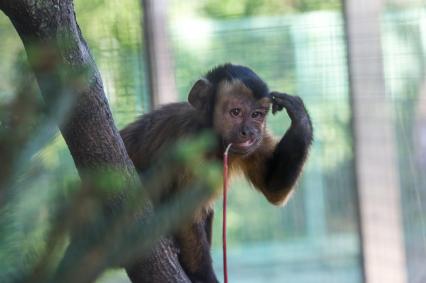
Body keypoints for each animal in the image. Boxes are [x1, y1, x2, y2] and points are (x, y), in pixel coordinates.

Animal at [120, 64, 312, 283]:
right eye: (236, 112)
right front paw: (203, 277)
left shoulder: (258, 141)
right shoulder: (188, 146)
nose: (249, 132)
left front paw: (300, 118)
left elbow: (273, 189)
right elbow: (184, 214)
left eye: (256, 115)